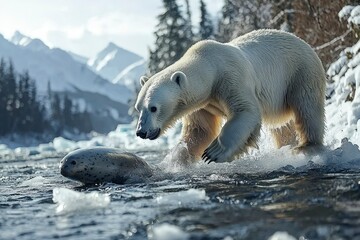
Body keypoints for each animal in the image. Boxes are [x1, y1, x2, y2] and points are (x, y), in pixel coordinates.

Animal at [135, 28, 326, 163]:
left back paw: (306, 146)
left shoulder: (230, 77)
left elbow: (245, 110)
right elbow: (199, 130)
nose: (141, 132)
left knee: (307, 106)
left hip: (300, 73)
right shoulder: (203, 103)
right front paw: (177, 160)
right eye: (138, 108)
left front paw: (213, 153)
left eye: (153, 108)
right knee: (282, 127)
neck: (209, 67)